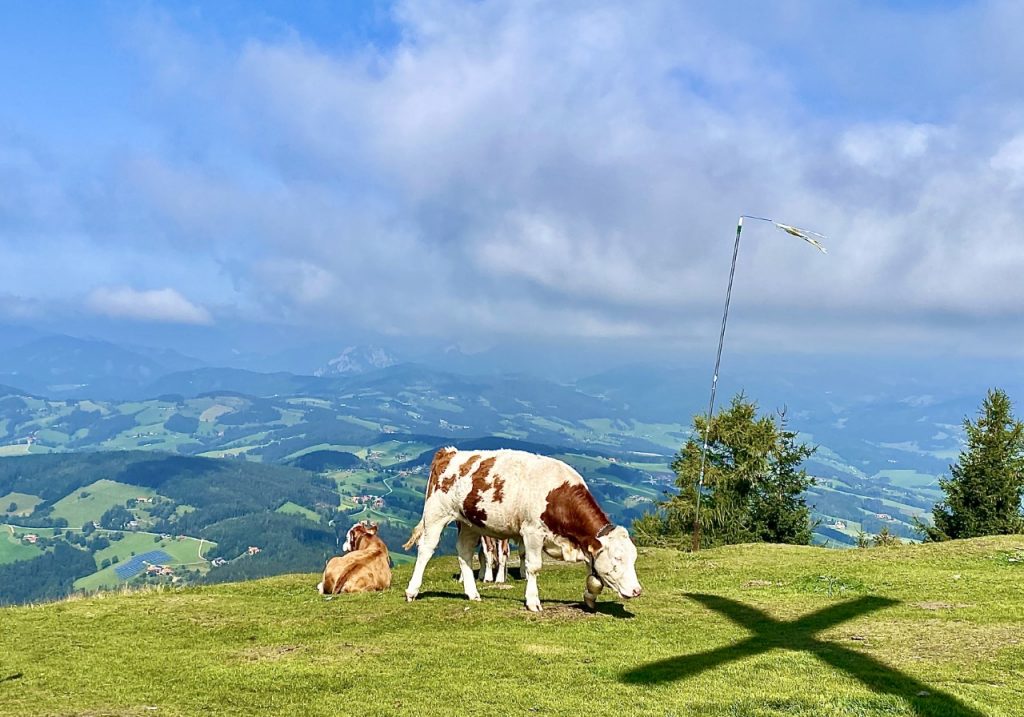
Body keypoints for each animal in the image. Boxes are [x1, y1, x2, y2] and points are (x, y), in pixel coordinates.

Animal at [405, 448, 638, 610]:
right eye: (617, 558)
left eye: (633, 558)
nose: (637, 590)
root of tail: (449, 452)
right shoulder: (532, 532)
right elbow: (533, 567)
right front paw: (533, 601)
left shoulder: (584, 543)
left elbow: (594, 576)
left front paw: (589, 599)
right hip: (436, 514)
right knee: (426, 550)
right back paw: (412, 591)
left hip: (469, 523)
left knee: (464, 553)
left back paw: (473, 593)